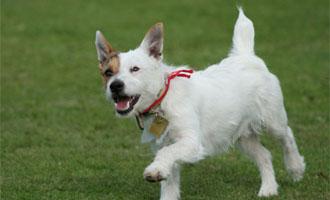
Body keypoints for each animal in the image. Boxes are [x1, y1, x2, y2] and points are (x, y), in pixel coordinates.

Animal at [94, 8, 306, 200]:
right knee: (264, 155)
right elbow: (169, 180)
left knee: (287, 136)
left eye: (135, 69)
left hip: (273, 120)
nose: (115, 86)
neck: (163, 98)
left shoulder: (191, 142)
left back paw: (295, 168)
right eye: (108, 73)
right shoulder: (165, 144)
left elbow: (167, 153)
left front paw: (155, 169)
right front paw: (161, 175)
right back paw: (268, 188)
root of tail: (246, 56)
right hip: (242, 136)